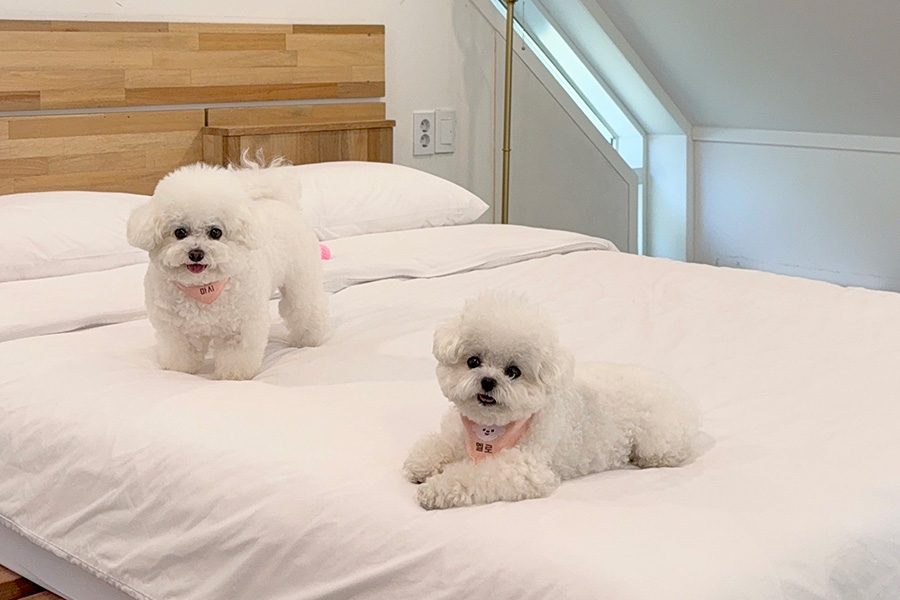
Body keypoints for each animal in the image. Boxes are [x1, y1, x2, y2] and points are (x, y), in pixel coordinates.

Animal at [127, 160, 328, 380]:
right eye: (179, 232)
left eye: (216, 232)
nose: (196, 253)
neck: (203, 289)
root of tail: (279, 202)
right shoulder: (175, 330)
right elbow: (181, 353)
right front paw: (180, 370)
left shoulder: (241, 327)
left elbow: (236, 355)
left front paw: (234, 375)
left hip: (301, 280)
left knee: (304, 308)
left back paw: (308, 340)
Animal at [404, 293, 699, 509]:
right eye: (473, 361)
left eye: (513, 372)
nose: (488, 381)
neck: (489, 429)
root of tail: (678, 391)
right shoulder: (457, 435)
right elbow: (439, 444)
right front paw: (422, 464)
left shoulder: (524, 468)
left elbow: (473, 475)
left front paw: (435, 489)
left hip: (657, 438)